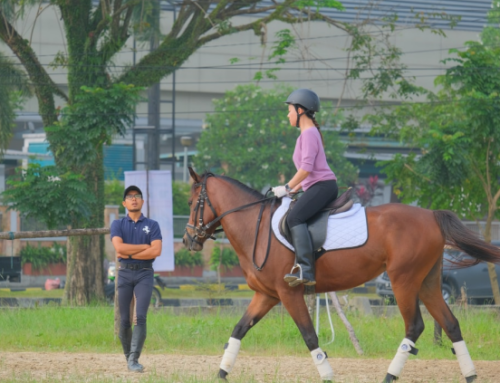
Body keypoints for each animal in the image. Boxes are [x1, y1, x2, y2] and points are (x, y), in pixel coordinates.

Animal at [183, 170, 500, 383]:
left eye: (191, 202)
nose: (188, 240)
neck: (256, 229)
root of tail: (431, 215)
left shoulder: (288, 293)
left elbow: (309, 336)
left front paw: (327, 374)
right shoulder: (267, 295)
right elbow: (239, 330)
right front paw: (221, 372)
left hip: (404, 281)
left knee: (415, 326)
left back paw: (389, 376)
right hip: (428, 283)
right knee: (451, 324)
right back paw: (470, 375)